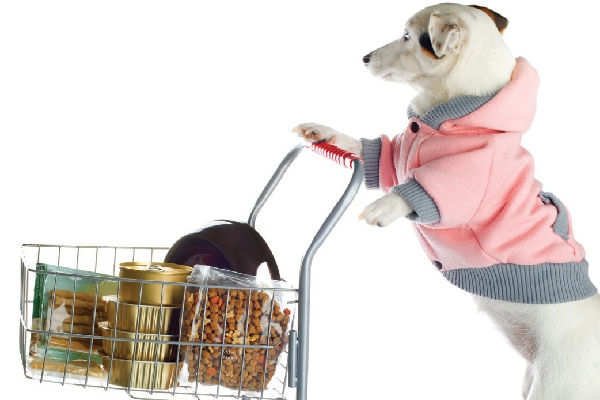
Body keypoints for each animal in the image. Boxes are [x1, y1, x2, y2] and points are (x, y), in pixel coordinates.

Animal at [292, 3, 600, 400]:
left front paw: (384, 207)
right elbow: (370, 150)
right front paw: (324, 133)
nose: (364, 58)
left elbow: (423, 188)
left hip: (559, 385)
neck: (454, 114)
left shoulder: (463, 181)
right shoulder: (394, 157)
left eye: (408, 36)